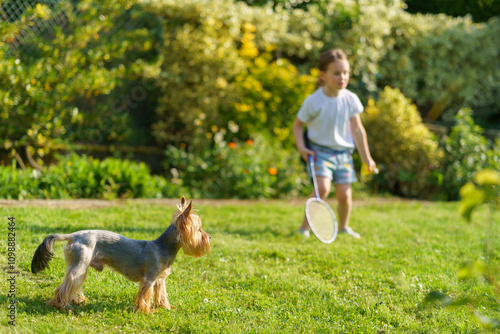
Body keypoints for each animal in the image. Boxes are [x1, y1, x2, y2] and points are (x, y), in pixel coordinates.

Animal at [30, 197, 211, 312]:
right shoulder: (149, 279)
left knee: (72, 283)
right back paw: (61, 305)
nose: (209, 237)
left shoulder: (160, 280)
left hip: (78, 264)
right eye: (199, 230)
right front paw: (145, 311)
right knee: (65, 286)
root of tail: (73, 235)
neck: (163, 247)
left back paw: (77, 301)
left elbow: (161, 295)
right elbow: (145, 296)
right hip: (80, 263)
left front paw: (165, 307)